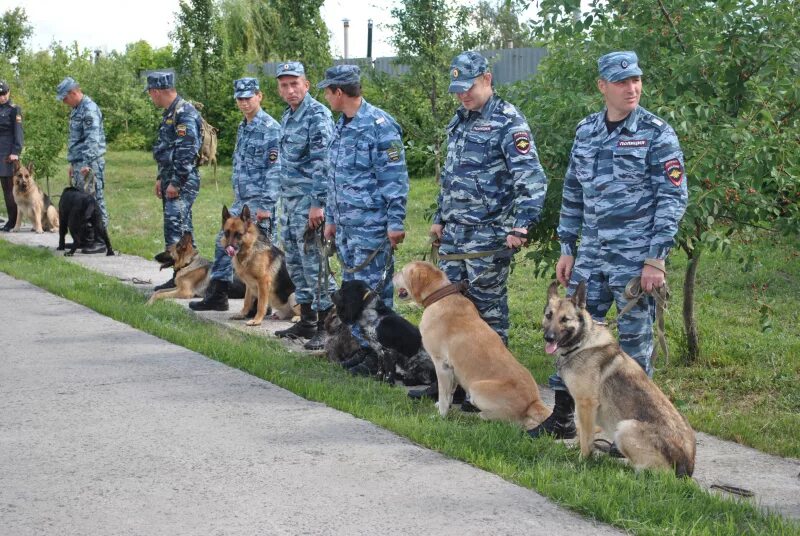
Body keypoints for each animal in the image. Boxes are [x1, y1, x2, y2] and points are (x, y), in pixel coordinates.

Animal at [394, 260, 552, 432]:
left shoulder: (441, 364)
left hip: (476, 388)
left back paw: (477, 416)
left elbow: (443, 394)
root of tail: (533, 402)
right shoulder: (452, 368)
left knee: (507, 421)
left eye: (403, 272)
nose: (393, 274)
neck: (439, 295)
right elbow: (450, 392)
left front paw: (441, 415)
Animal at [544, 278, 692, 476]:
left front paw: (582, 461)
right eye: (548, 316)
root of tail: (687, 468)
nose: (548, 338)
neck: (582, 343)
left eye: (565, 319)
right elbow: (583, 434)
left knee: (655, 473)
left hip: (624, 428)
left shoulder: (586, 404)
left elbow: (586, 440)